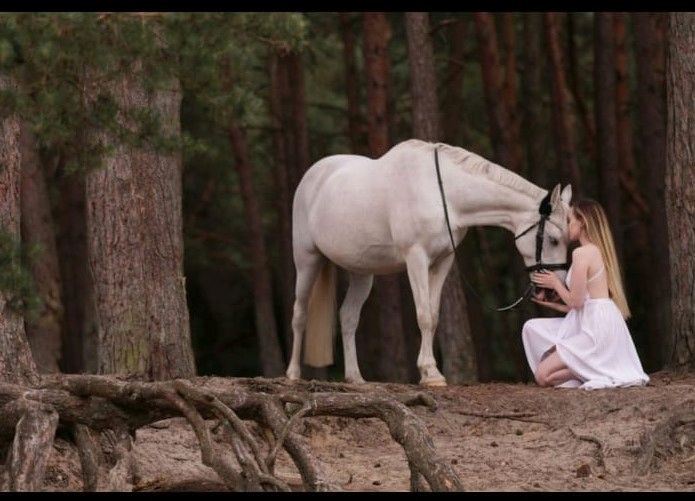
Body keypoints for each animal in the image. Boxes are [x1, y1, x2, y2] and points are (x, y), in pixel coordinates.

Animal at [285, 139, 572, 386]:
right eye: (554, 239)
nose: (553, 290)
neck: (442, 193)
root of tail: (313, 175)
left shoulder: (443, 261)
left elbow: (433, 315)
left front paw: (430, 372)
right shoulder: (416, 258)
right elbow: (423, 315)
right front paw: (431, 374)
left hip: (361, 272)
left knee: (347, 317)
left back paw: (355, 377)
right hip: (306, 260)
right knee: (299, 313)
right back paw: (293, 374)